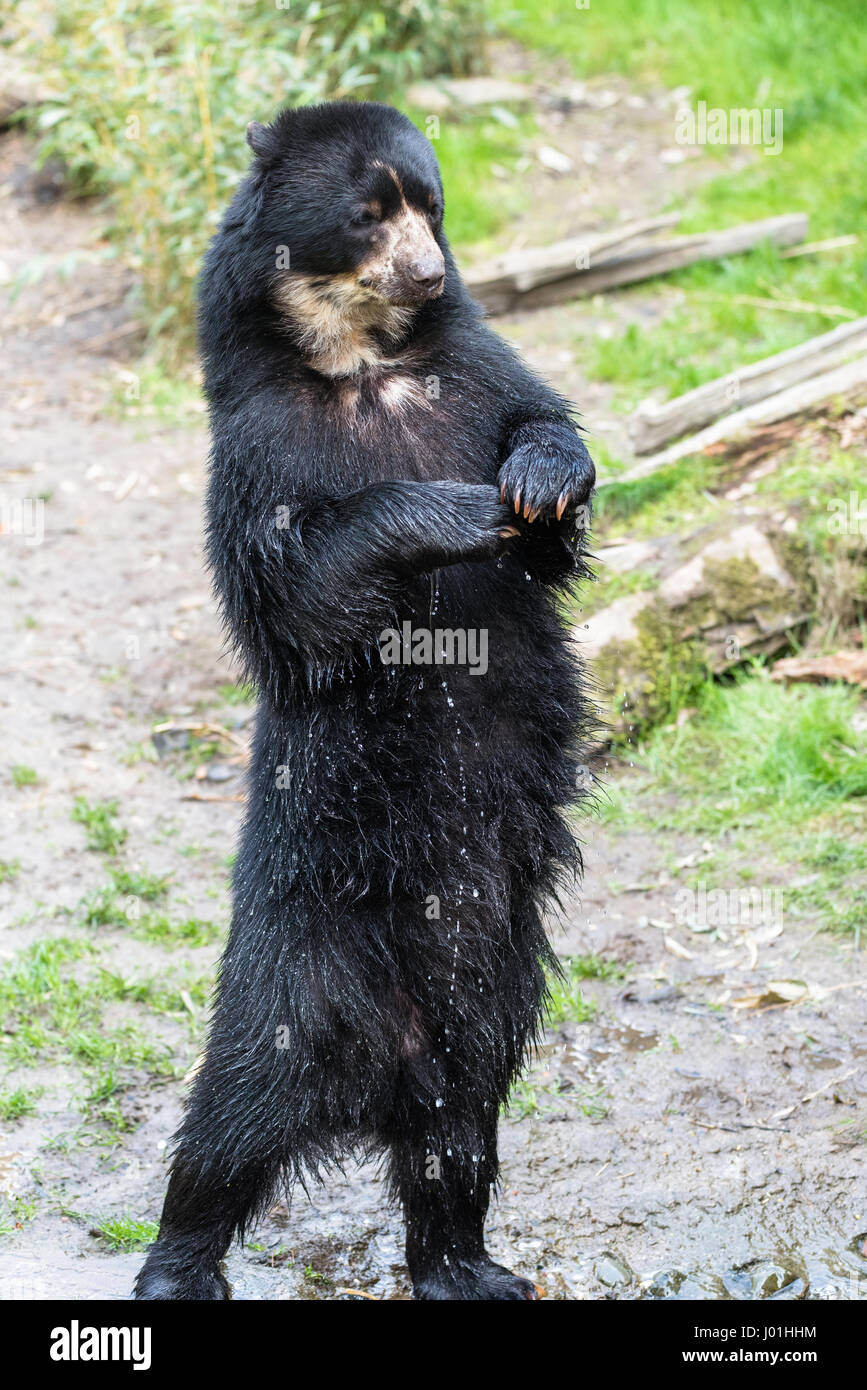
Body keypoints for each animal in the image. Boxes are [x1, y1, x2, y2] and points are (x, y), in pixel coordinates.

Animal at [135, 100, 594, 1301]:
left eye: (431, 206)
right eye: (367, 214)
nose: (431, 273)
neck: (362, 365)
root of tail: (378, 1068)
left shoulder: (474, 372)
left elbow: (540, 429)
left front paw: (539, 483)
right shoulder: (258, 450)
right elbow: (296, 591)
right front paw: (460, 510)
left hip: (494, 999)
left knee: (458, 1134)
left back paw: (469, 1266)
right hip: (289, 976)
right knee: (227, 1125)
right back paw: (175, 1270)